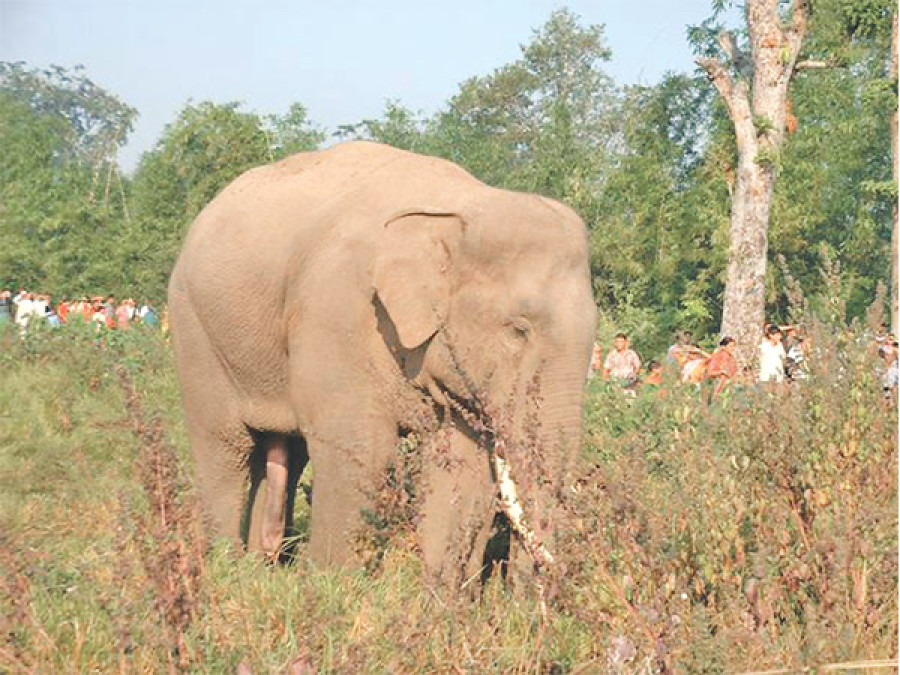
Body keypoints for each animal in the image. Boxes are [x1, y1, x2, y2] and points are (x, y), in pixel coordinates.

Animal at [168, 141, 597, 586]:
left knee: (285, 452)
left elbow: (462, 466)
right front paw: (331, 588)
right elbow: (362, 447)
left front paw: (437, 596)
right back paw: (225, 567)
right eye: (517, 331)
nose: (522, 592)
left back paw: (261, 569)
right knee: (225, 446)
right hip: (195, 330)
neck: (455, 206)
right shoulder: (337, 313)